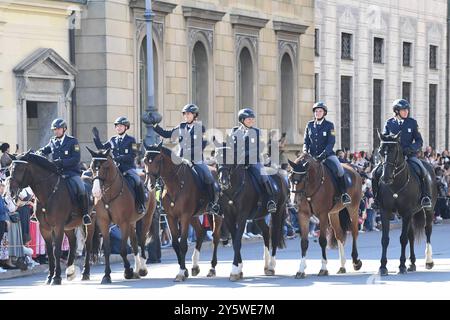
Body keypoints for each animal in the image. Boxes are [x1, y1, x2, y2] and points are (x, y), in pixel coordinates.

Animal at [8, 152, 96, 284]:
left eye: (21, 169)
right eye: (10, 169)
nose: (11, 191)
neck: (49, 192)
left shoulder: (58, 226)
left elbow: (56, 251)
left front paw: (56, 277)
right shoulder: (44, 228)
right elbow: (50, 251)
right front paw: (50, 276)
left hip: (90, 223)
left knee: (88, 244)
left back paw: (85, 273)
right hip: (68, 226)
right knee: (73, 242)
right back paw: (70, 272)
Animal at [87, 146, 156, 284]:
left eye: (105, 167)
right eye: (92, 167)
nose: (95, 192)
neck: (109, 195)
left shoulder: (123, 223)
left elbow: (123, 250)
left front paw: (128, 271)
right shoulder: (104, 223)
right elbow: (107, 250)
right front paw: (106, 275)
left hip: (146, 218)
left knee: (141, 240)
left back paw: (142, 269)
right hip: (132, 222)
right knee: (134, 243)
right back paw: (137, 270)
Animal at [143, 141, 222, 282]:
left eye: (158, 160)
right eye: (145, 160)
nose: (149, 184)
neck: (176, 184)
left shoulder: (184, 217)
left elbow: (183, 244)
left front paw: (181, 272)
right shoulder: (171, 217)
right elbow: (175, 244)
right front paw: (184, 270)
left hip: (215, 215)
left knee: (215, 237)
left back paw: (212, 268)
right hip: (194, 216)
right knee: (200, 232)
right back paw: (195, 266)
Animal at [214, 140, 288, 280]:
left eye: (230, 157)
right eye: (216, 157)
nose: (223, 181)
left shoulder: (242, 217)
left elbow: (238, 240)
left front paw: (234, 270)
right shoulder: (228, 217)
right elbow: (235, 240)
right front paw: (239, 268)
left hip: (278, 212)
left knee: (274, 234)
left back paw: (271, 266)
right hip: (258, 216)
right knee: (266, 231)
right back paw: (266, 265)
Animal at [376, 132, 436, 276]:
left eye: (394, 151)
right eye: (380, 151)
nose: (385, 177)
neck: (395, 184)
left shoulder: (407, 212)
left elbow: (403, 239)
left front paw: (401, 265)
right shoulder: (385, 211)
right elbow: (385, 239)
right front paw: (383, 266)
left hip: (428, 210)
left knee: (427, 230)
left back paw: (428, 261)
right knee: (412, 236)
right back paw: (412, 263)